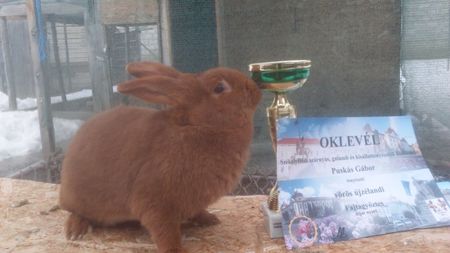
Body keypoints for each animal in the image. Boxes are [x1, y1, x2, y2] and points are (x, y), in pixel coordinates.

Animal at [60, 61, 264, 253]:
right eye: (219, 88)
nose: (255, 89)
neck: (197, 125)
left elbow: (197, 212)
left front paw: (210, 219)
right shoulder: (156, 203)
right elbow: (165, 232)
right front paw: (175, 250)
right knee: (76, 212)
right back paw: (75, 231)